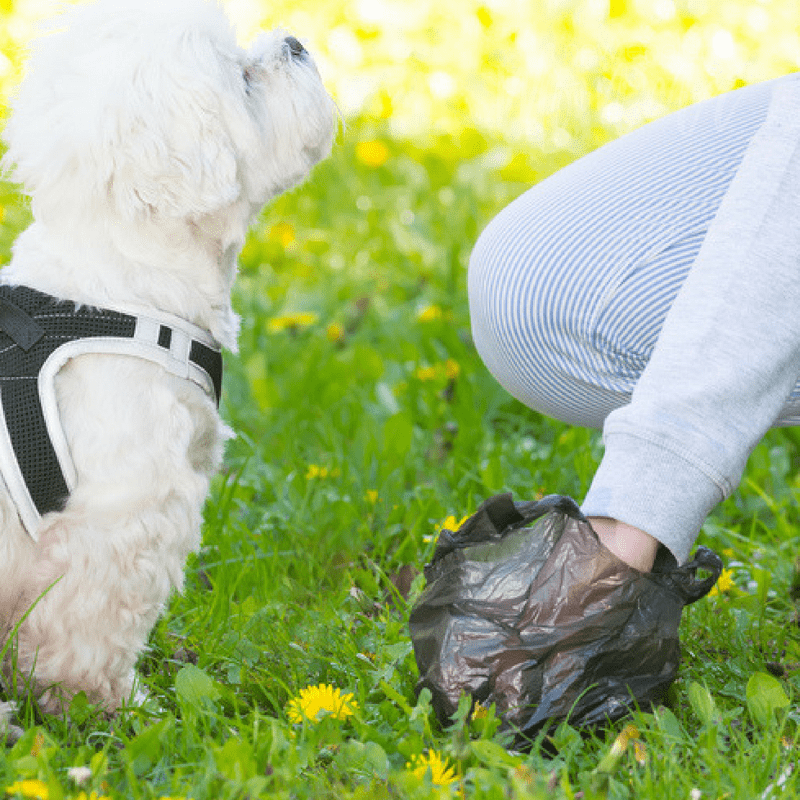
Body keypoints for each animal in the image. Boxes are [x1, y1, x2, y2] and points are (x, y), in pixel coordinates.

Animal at [0, 0, 336, 720]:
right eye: (243, 77)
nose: (294, 42)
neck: (121, 293)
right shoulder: (118, 519)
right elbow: (88, 632)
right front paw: (111, 706)